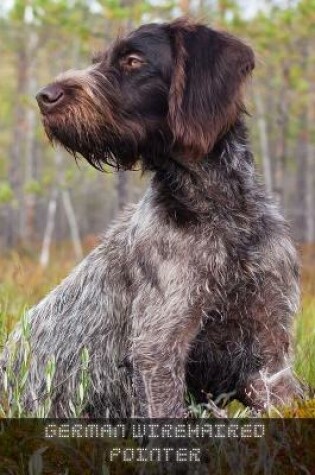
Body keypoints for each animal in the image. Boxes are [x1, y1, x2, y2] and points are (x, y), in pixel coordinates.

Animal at [0, 17, 302, 416]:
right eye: (99, 61)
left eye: (132, 60)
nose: (44, 96)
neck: (220, 212)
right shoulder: (158, 348)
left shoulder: (270, 348)